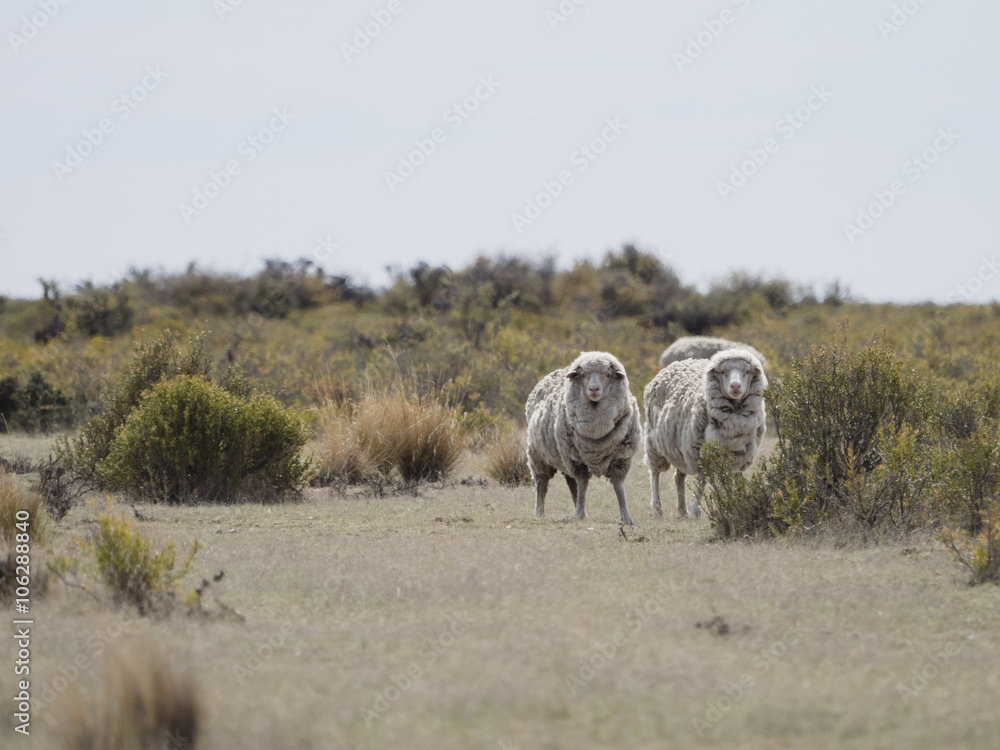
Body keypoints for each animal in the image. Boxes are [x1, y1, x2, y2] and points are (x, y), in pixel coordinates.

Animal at [526, 351, 641, 525]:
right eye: (583, 375)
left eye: (608, 375)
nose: (594, 388)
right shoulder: (577, 460)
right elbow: (583, 483)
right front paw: (580, 513)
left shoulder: (621, 459)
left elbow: (618, 486)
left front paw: (626, 517)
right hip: (538, 456)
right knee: (542, 484)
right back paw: (539, 512)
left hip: (563, 458)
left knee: (571, 483)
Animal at [644, 348, 767, 518]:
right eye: (723, 372)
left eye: (746, 372)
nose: (735, 386)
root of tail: (679, 363)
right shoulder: (701, 454)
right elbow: (703, 481)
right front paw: (697, 510)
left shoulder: (736, 457)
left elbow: (727, 481)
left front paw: (731, 504)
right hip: (654, 442)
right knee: (655, 473)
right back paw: (657, 508)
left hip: (679, 448)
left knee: (678, 477)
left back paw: (682, 511)